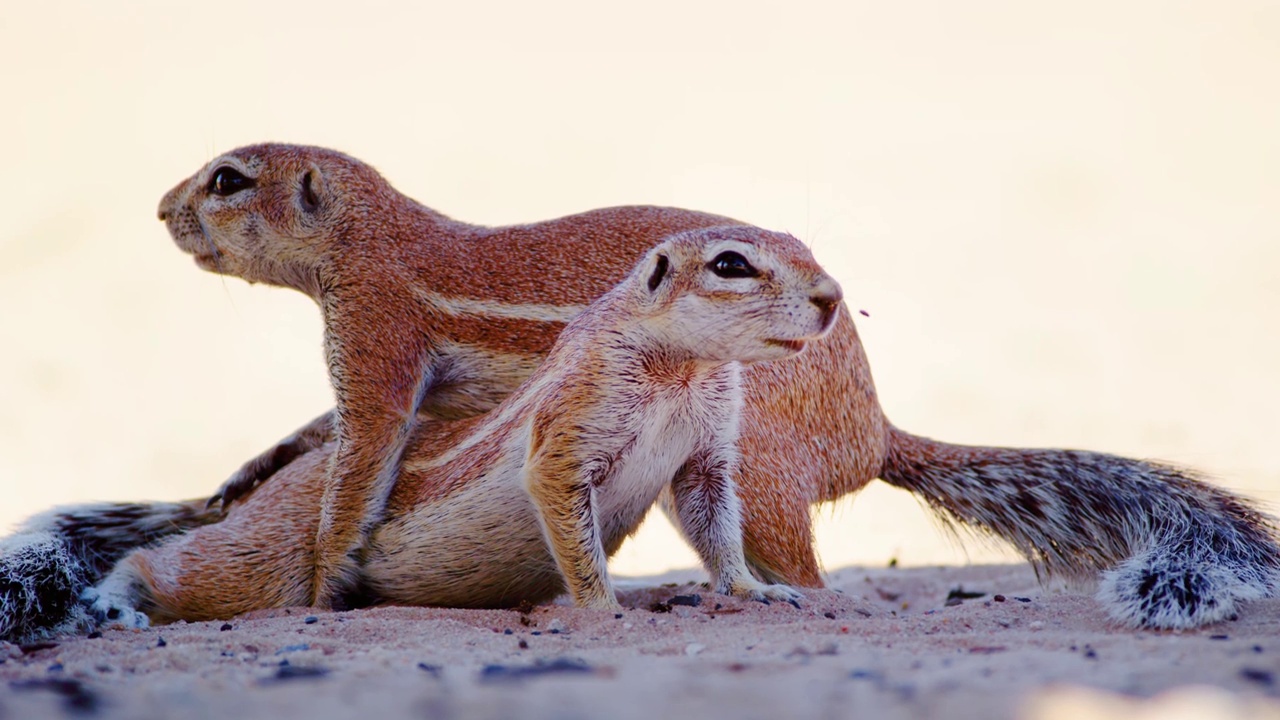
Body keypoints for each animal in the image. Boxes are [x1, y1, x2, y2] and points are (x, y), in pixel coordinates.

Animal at [77, 225, 839, 622]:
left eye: (804, 244)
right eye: (731, 265)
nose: (833, 297)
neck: (685, 368)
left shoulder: (707, 450)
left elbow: (715, 522)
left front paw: (753, 589)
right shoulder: (573, 423)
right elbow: (567, 512)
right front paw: (603, 606)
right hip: (259, 563)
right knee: (163, 562)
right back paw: (115, 600)